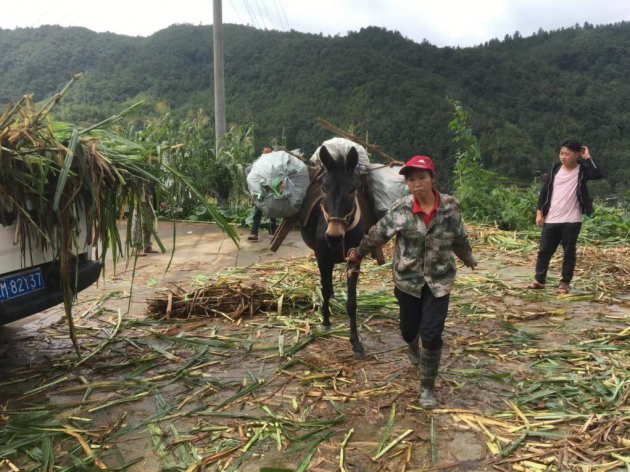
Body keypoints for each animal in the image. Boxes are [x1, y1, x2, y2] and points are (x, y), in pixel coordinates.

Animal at [300, 146, 366, 360]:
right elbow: (323, 288)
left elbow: (352, 303)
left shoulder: (354, 260)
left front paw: (356, 342)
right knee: (325, 283)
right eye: (323, 189)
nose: (334, 237)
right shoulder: (322, 257)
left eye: (353, 190)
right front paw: (325, 321)